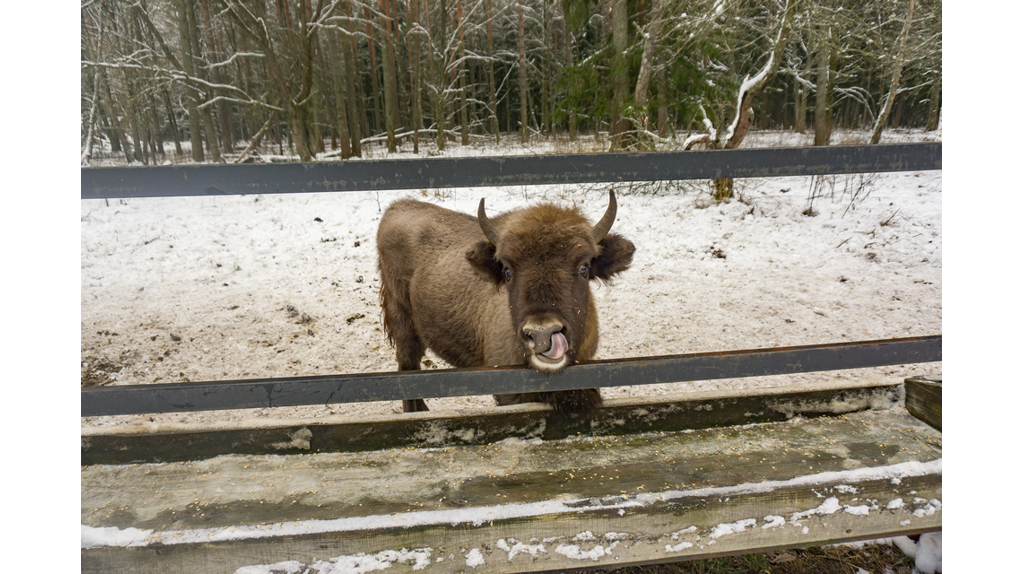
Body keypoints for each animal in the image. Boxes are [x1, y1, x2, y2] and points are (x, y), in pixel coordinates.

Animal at [376, 190, 630, 413]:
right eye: (507, 271)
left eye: (584, 267)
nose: (542, 334)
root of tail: (395, 208)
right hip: (404, 325)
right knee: (407, 370)